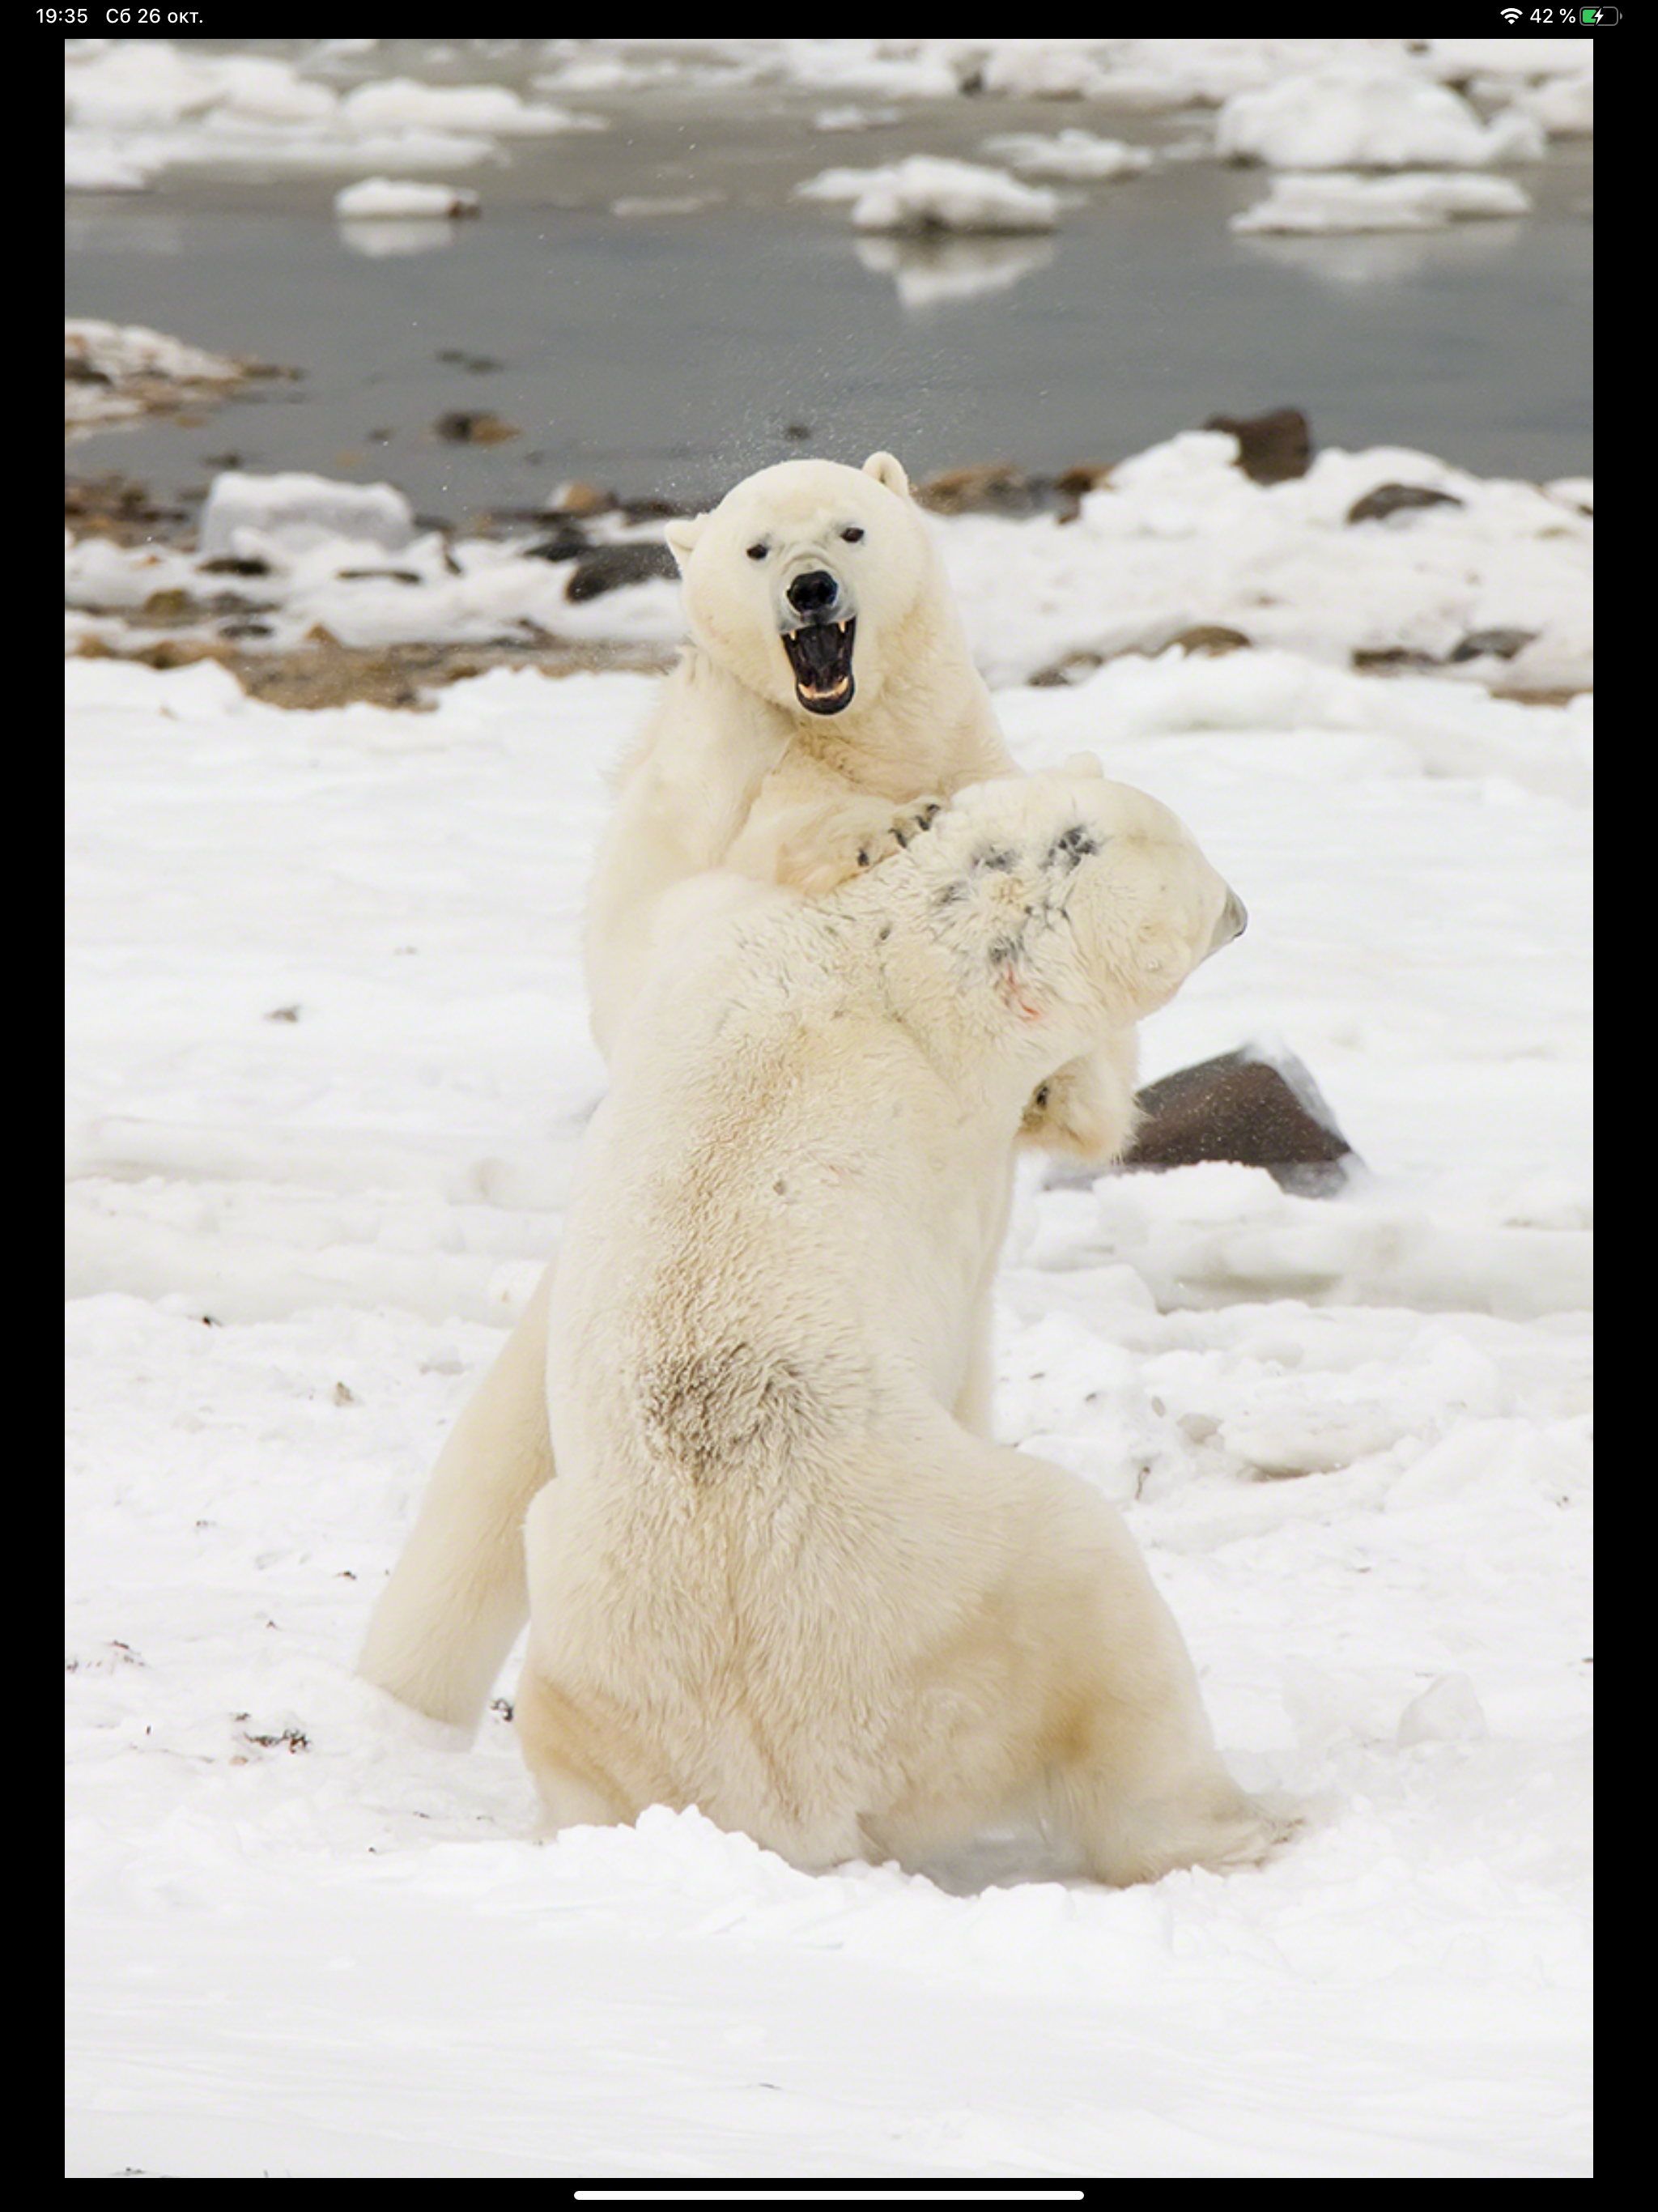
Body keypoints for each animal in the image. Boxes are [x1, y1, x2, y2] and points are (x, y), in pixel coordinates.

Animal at [358, 456, 1126, 1728]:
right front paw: (886, 830)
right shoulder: (722, 806)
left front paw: (1064, 1082)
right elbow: (774, 847)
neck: (858, 733)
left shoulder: (970, 749)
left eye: (850, 530)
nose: (813, 588)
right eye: (759, 548)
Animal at [513, 762, 1286, 1886]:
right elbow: (1080, 1118)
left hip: (590, 1638)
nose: (1243, 909)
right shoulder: (976, 1094)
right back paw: (1245, 1822)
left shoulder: (704, 948)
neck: (878, 958)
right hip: (966, 1599)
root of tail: (793, 1784)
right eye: (1197, 875)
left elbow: (638, 920)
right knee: (1103, 1610)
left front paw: (890, 822)